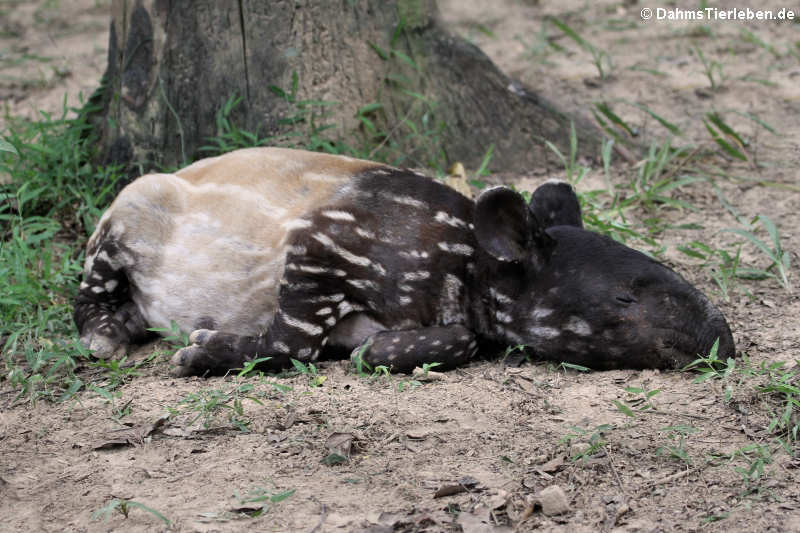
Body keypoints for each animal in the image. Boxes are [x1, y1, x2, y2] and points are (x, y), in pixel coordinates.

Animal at [75, 148, 736, 376]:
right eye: (625, 296)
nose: (724, 342)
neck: (460, 259)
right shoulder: (320, 248)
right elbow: (294, 343)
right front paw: (201, 350)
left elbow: (458, 340)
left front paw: (375, 349)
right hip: (128, 213)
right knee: (90, 290)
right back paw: (108, 333)